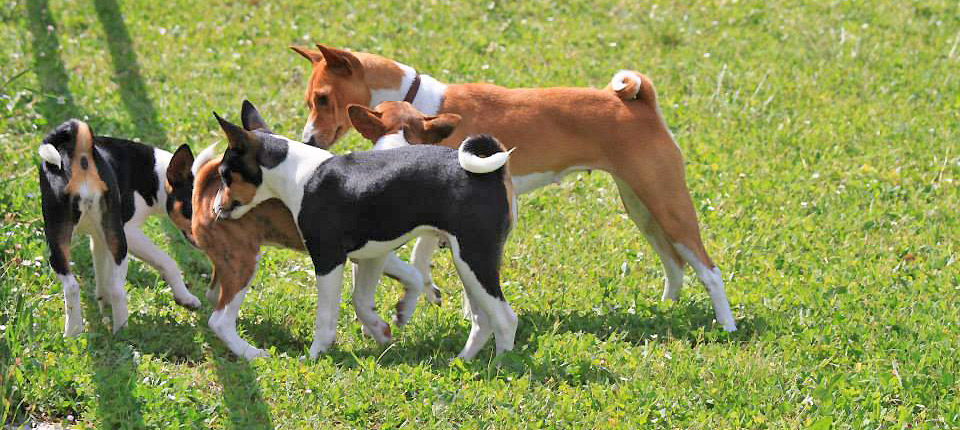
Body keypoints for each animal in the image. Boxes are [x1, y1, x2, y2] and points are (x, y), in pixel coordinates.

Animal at [38, 119, 202, 338]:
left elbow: (101, 273)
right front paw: (185, 297)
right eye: (191, 210)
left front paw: (102, 302)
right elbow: (168, 262)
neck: (155, 175)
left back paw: (76, 332)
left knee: (76, 286)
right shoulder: (130, 233)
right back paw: (120, 329)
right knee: (114, 287)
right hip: (116, 241)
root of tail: (80, 158)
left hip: (63, 240)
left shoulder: (100, 238)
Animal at [204, 101, 516, 360]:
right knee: (483, 320)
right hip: (468, 264)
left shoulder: (328, 260)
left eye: (224, 174)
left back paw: (501, 365)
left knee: (505, 319)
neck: (299, 173)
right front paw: (381, 330)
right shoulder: (370, 256)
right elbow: (364, 301)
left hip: (475, 259)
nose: (215, 209)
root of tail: (491, 173)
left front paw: (314, 357)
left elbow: (326, 319)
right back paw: (463, 360)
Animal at [288, 43, 740, 330]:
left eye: (323, 99)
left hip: (666, 202)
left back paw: (727, 326)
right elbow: (426, 263)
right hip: (641, 207)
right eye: (310, 100)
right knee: (675, 263)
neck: (419, 105)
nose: (308, 140)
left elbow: (419, 262)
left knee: (709, 270)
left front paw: (420, 304)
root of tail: (639, 101)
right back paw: (666, 309)